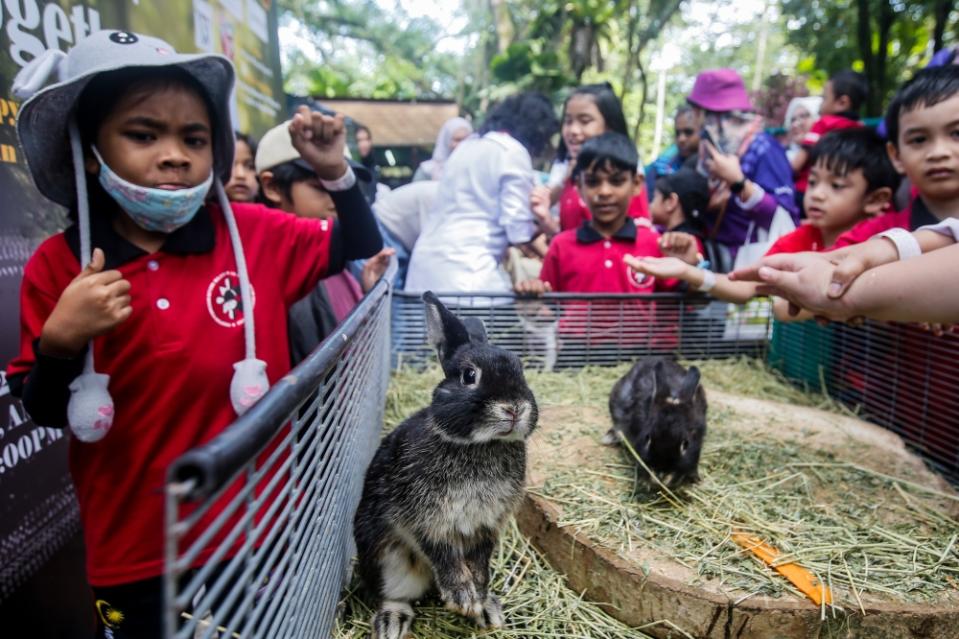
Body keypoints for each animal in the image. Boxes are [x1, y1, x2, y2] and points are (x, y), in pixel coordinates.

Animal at [354, 292, 540, 636]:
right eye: (469, 376)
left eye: (520, 369)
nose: (514, 408)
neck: (479, 445)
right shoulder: (426, 521)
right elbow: (444, 555)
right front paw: (462, 597)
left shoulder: (486, 525)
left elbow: (480, 562)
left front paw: (479, 598)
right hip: (388, 559)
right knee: (392, 593)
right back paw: (391, 622)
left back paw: (489, 610)